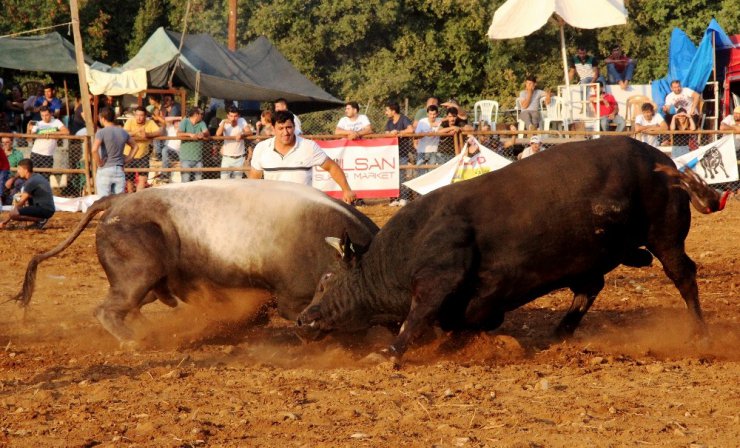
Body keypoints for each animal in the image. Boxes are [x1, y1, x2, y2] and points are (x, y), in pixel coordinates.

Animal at [298, 136, 732, 364]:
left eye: (326, 281)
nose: (302, 319)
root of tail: (665, 162)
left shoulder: (439, 278)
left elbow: (418, 317)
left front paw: (389, 352)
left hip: (665, 237)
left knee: (683, 275)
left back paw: (700, 335)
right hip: (592, 255)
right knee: (588, 289)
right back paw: (558, 333)